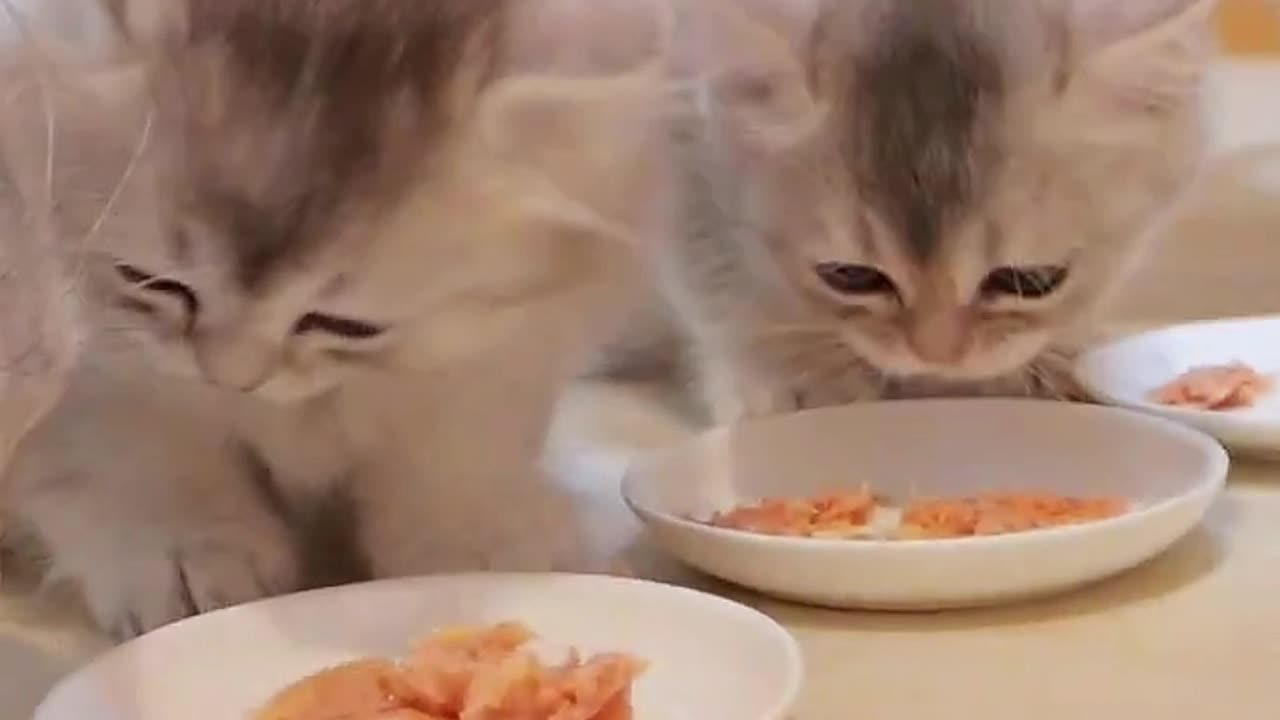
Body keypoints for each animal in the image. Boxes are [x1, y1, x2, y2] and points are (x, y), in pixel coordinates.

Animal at [2, 0, 670, 635]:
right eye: (150, 281)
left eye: (349, 326)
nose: (232, 378)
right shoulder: (75, 336)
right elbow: (129, 431)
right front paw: (184, 541)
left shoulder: (532, 318)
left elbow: (458, 423)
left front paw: (471, 535)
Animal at [604, 0, 1213, 420]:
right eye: (848, 276)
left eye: (1035, 281)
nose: (936, 355)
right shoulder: (686, 145)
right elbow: (713, 279)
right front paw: (776, 373)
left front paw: (1059, 357)